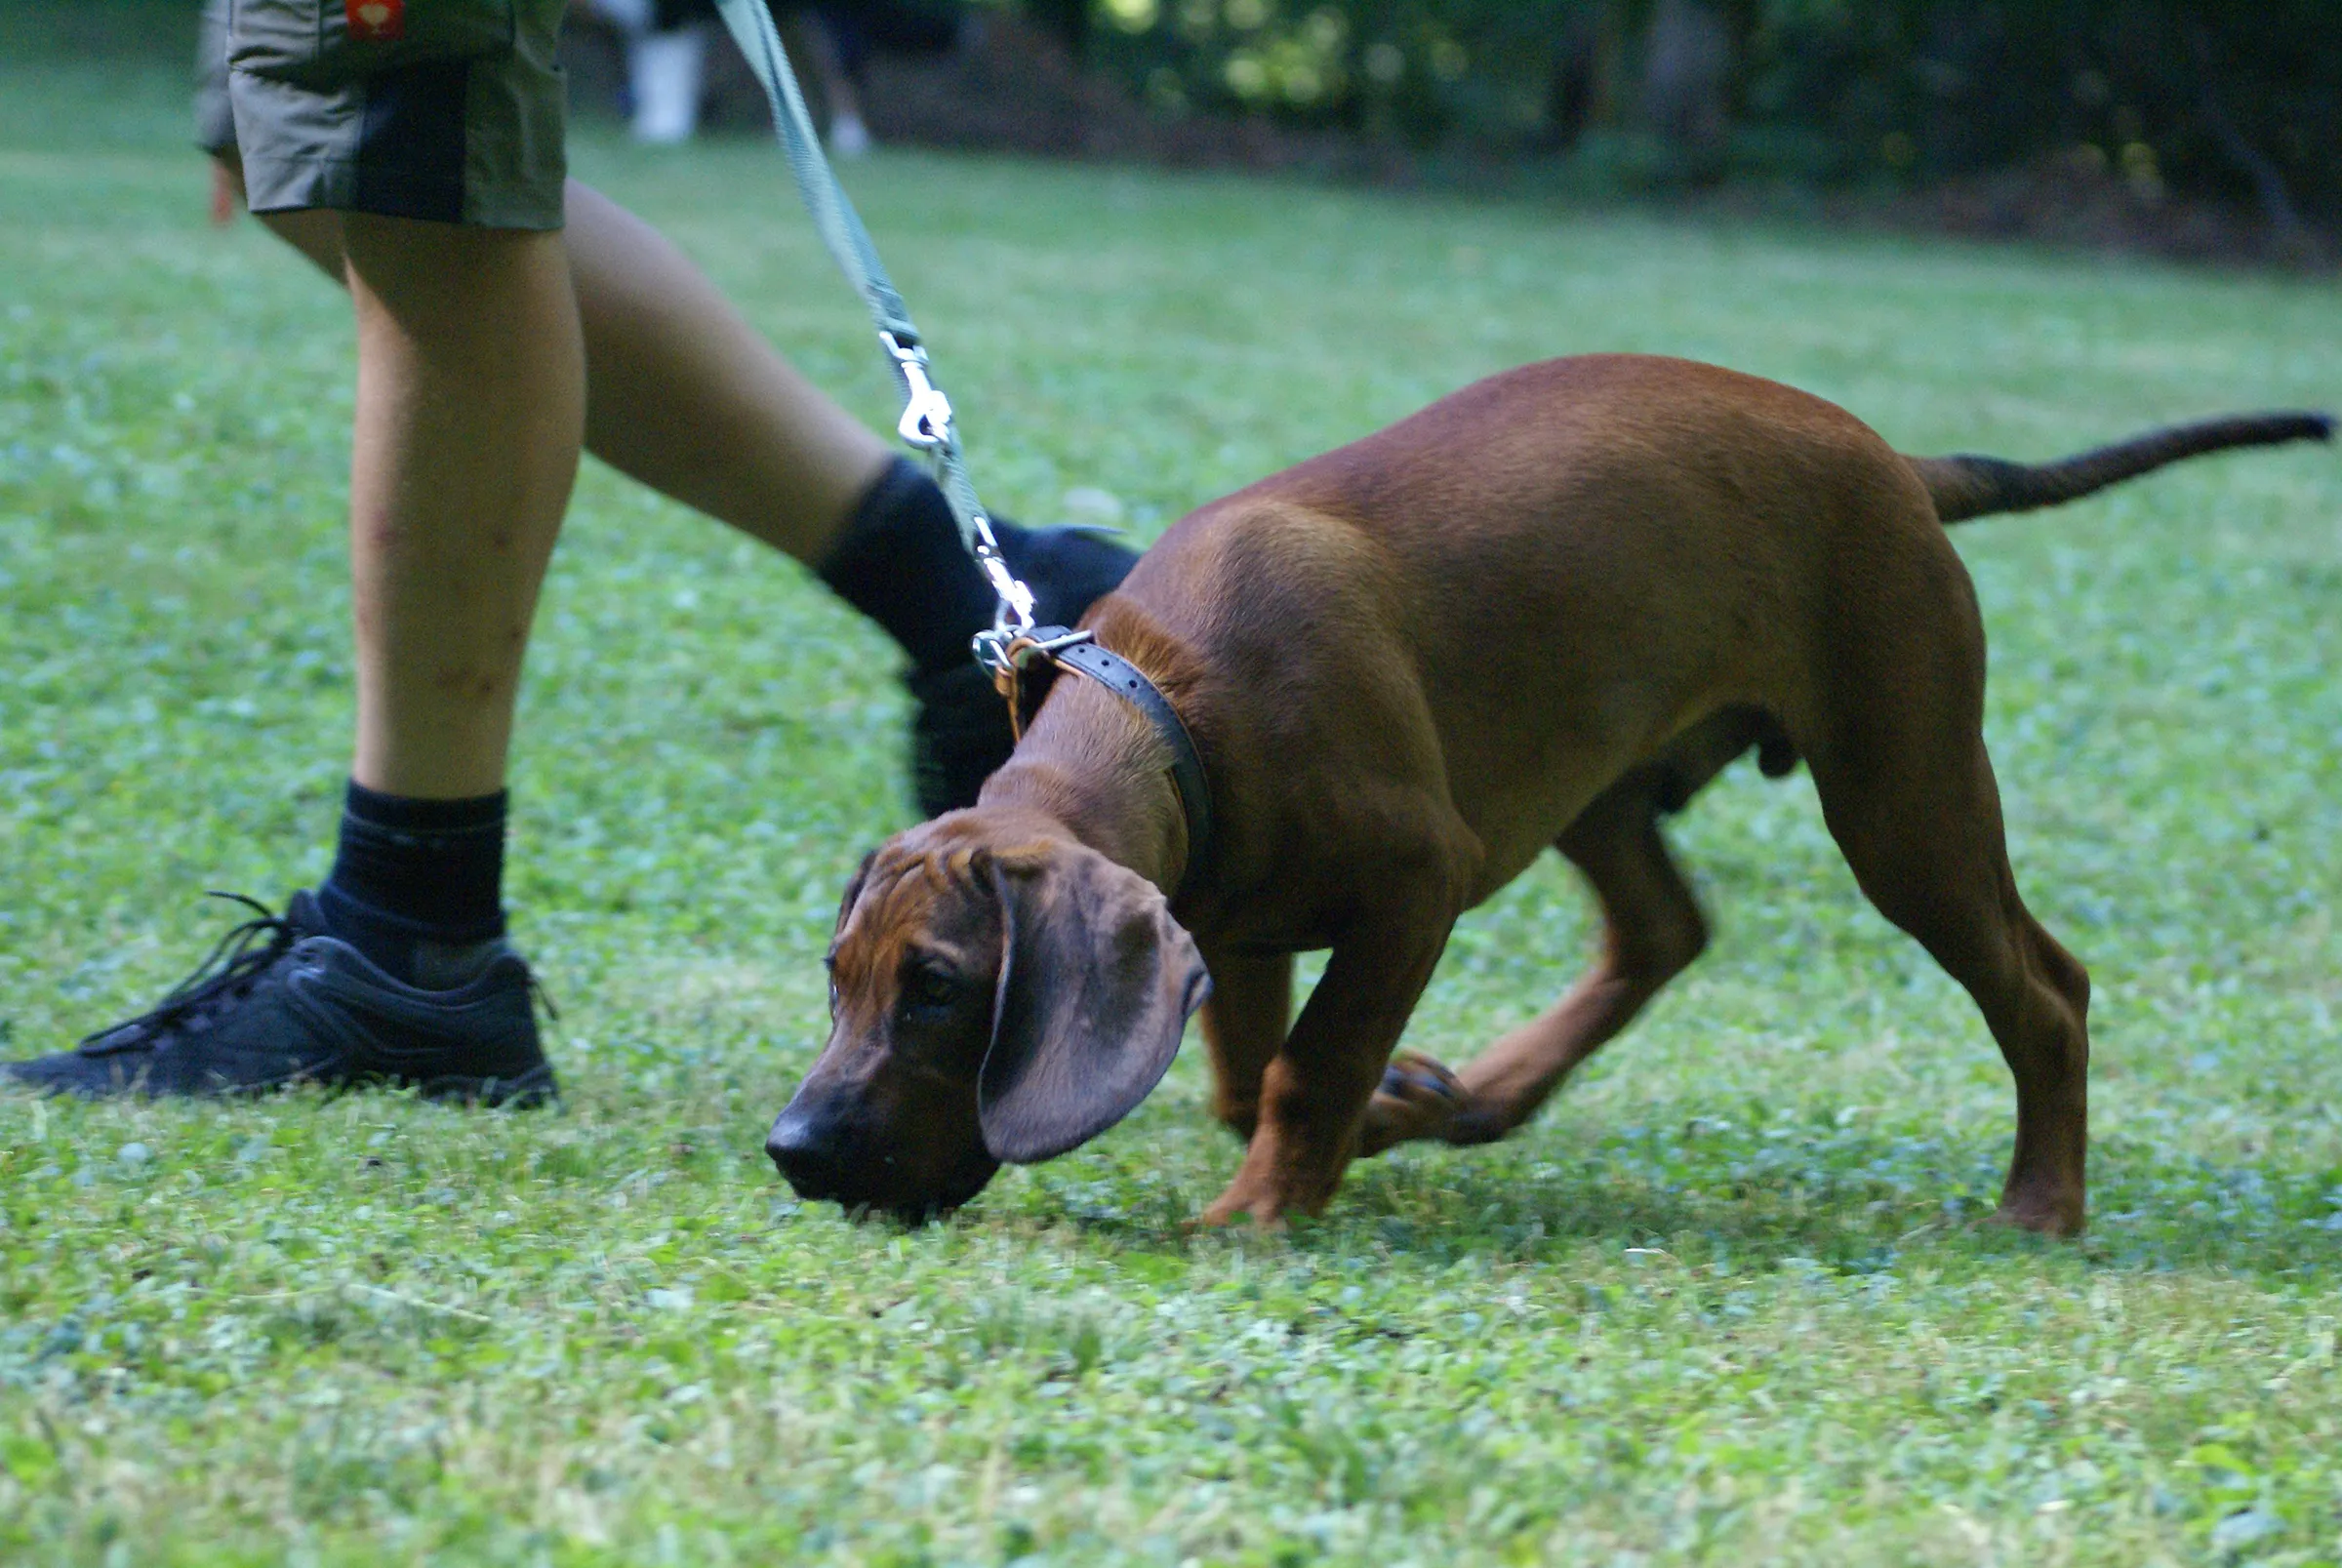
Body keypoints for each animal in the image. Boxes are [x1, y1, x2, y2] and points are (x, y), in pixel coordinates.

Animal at [768, 360, 2322, 1245]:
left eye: (940, 988)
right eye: (838, 976)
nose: (793, 1150)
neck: (1173, 700)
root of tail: (1895, 459)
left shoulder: (1420, 877)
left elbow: (1306, 1064)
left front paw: (1263, 1212)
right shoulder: (1229, 913)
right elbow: (1236, 1073)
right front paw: (1368, 1123)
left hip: (1905, 790)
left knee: (2046, 986)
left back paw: (2042, 1203)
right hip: (1608, 769)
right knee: (1663, 932)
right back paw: (1469, 1098)